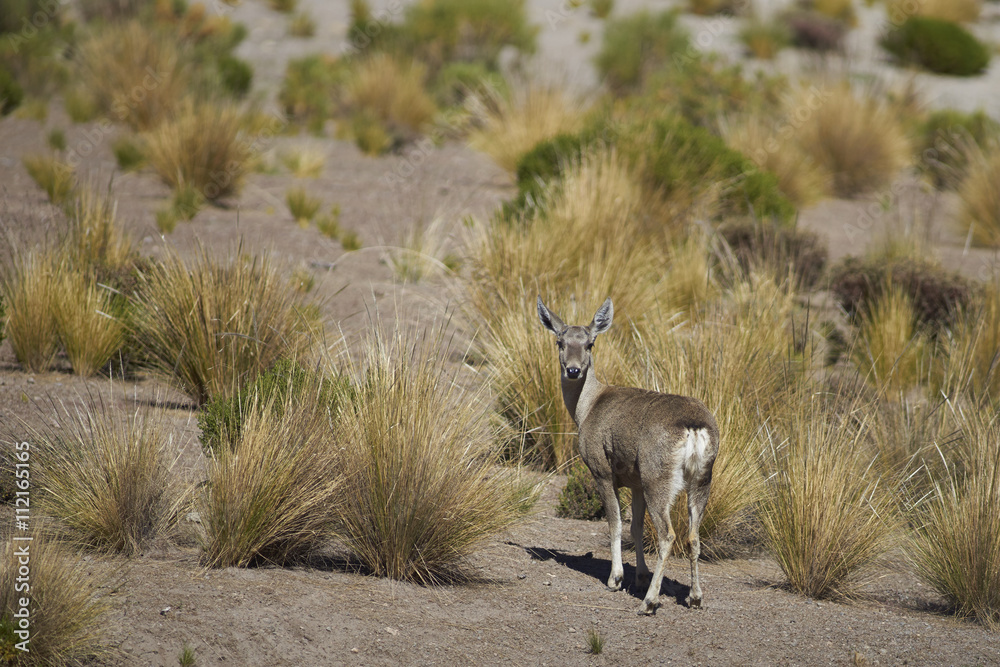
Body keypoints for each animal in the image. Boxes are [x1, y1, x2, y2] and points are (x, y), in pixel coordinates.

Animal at [537, 296, 719, 615]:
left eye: (590, 344)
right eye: (560, 341)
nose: (573, 370)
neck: (587, 409)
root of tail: (694, 429)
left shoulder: (601, 469)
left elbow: (615, 523)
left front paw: (617, 579)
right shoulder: (634, 482)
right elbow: (635, 526)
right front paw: (641, 576)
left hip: (657, 475)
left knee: (668, 534)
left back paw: (650, 602)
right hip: (701, 478)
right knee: (694, 535)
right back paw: (695, 597)